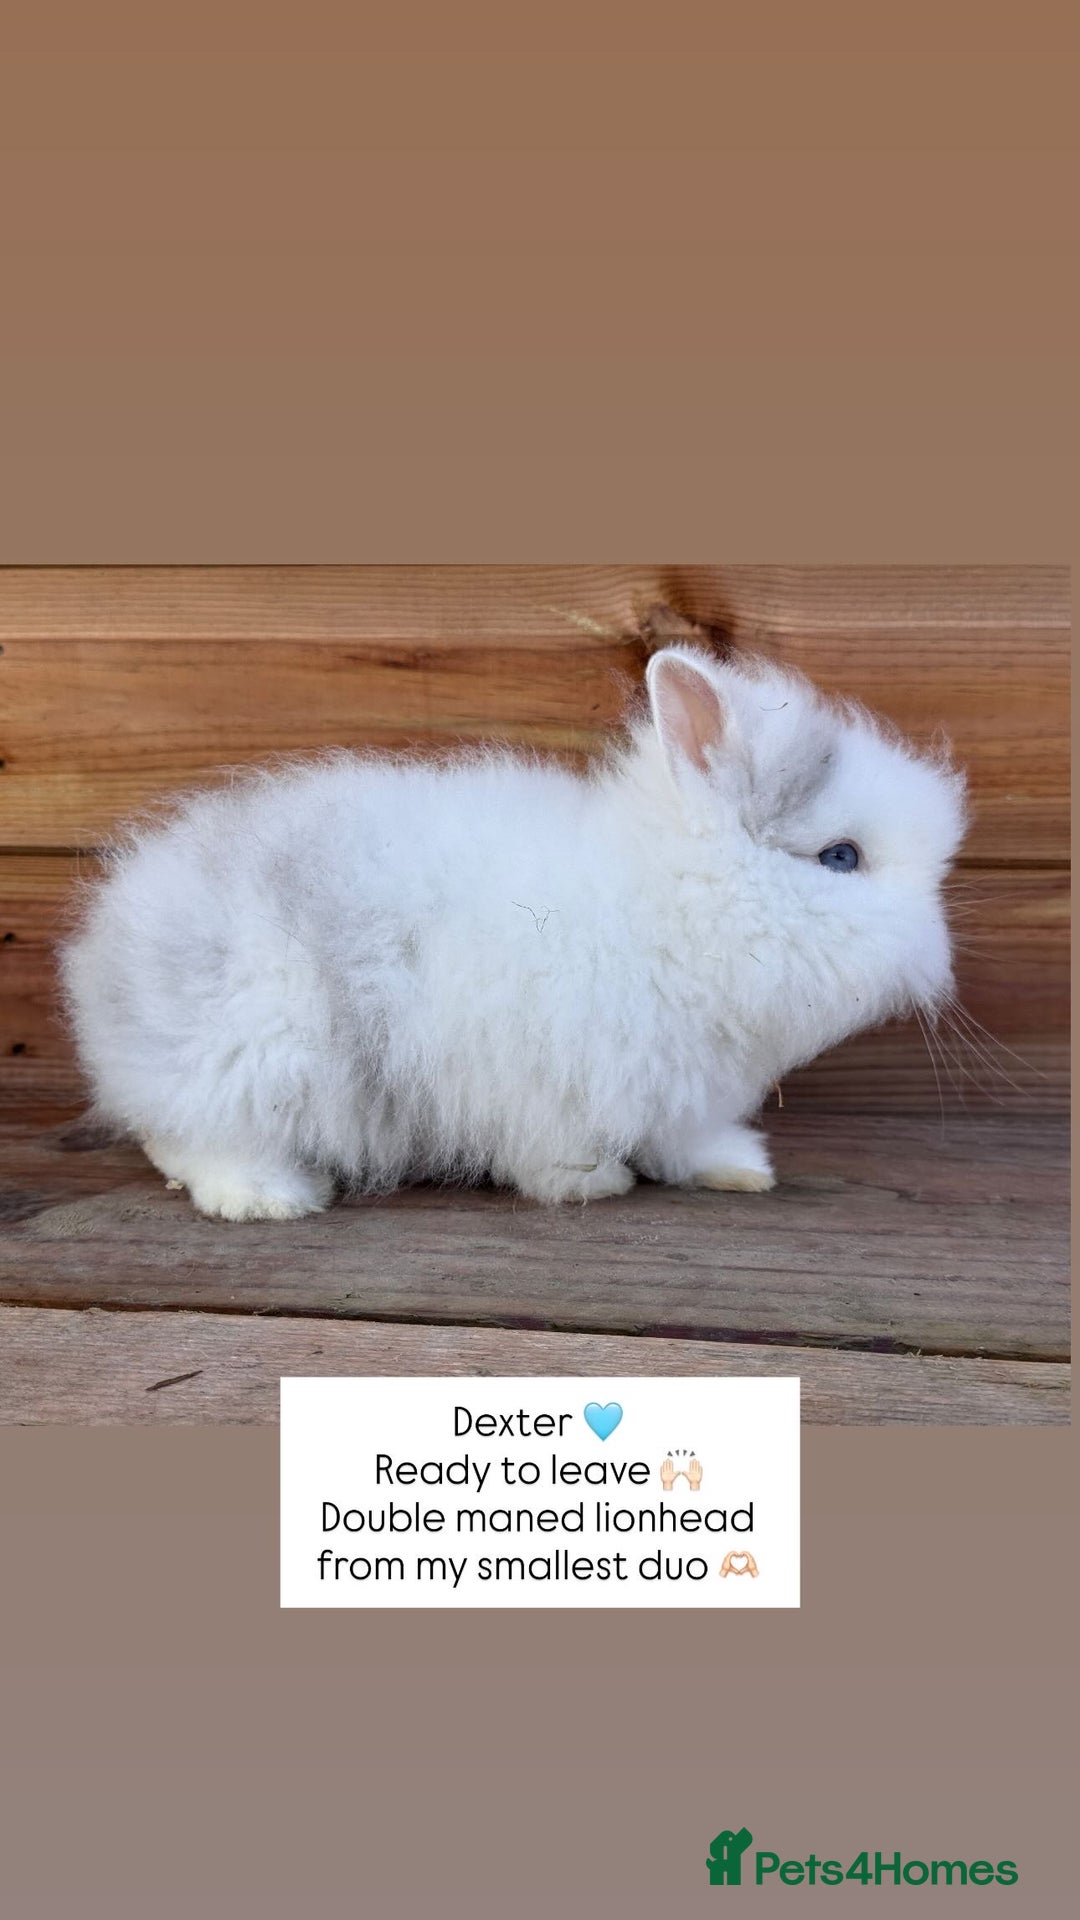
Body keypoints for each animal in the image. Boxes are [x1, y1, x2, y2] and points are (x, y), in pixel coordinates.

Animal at [60, 645, 967, 1221]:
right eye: (842, 857)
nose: (935, 947)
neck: (678, 907)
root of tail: (113, 951)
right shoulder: (544, 1073)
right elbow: (556, 1145)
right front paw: (591, 1185)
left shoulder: (681, 1087)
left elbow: (686, 1138)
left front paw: (740, 1170)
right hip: (249, 1050)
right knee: (193, 1135)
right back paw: (268, 1200)